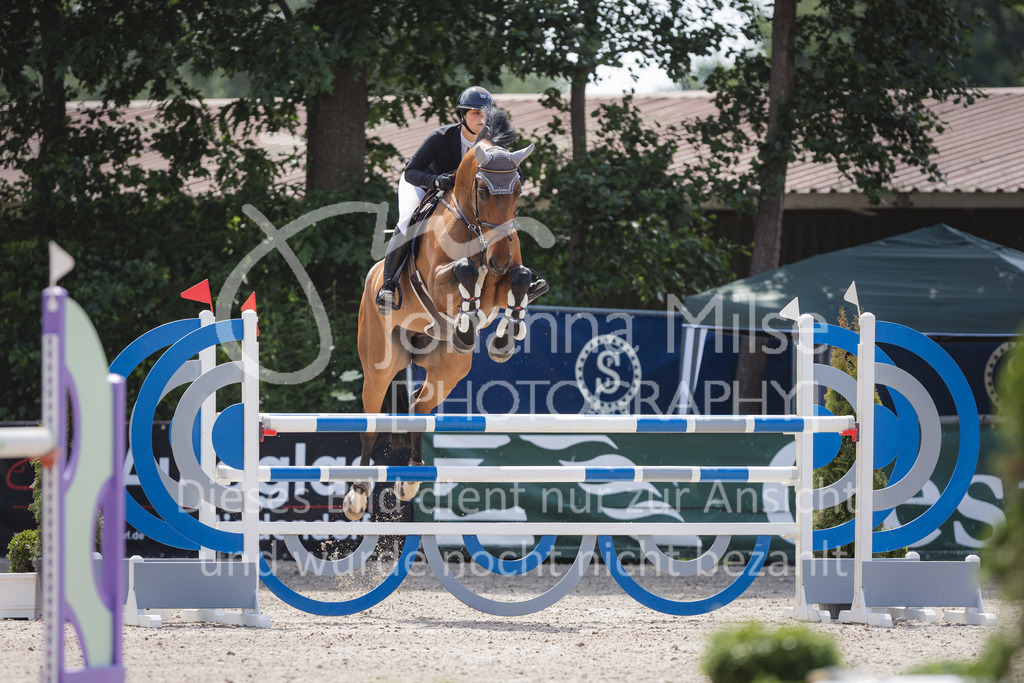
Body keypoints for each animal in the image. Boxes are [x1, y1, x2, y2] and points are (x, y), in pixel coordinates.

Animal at [343, 107, 547, 521]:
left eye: (518, 189)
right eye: (483, 190)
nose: (498, 259)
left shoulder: (502, 281)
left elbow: (518, 280)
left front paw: (502, 337)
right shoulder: (438, 284)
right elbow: (464, 271)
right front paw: (470, 324)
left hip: (448, 370)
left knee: (418, 404)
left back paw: (409, 478)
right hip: (379, 365)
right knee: (371, 419)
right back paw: (358, 493)